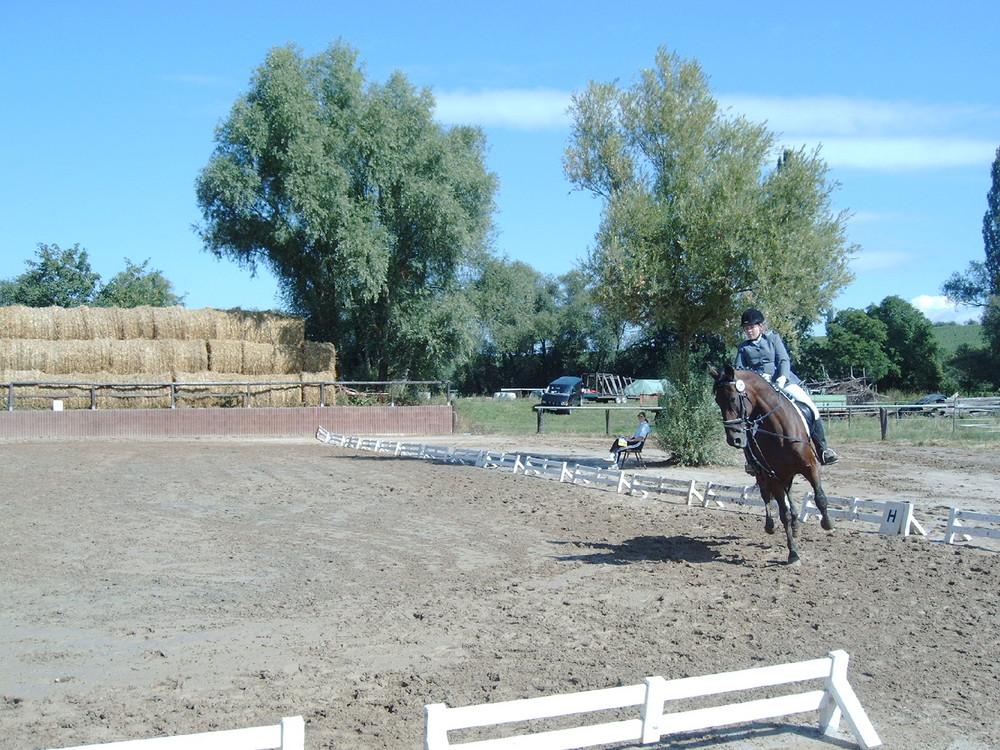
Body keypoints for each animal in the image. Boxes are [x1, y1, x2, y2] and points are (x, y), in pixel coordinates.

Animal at [712, 368, 836, 568]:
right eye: (717, 401)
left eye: (732, 398)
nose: (734, 439)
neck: (779, 430)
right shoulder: (772, 475)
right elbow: (783, 513)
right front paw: (793, 554)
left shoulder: (810, 467)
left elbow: (820, 497)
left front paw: (827, 523)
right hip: (764, 474)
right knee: (767, 496)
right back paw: (771, 525)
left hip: (787, 474)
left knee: (790, 494)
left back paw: (796, 525)